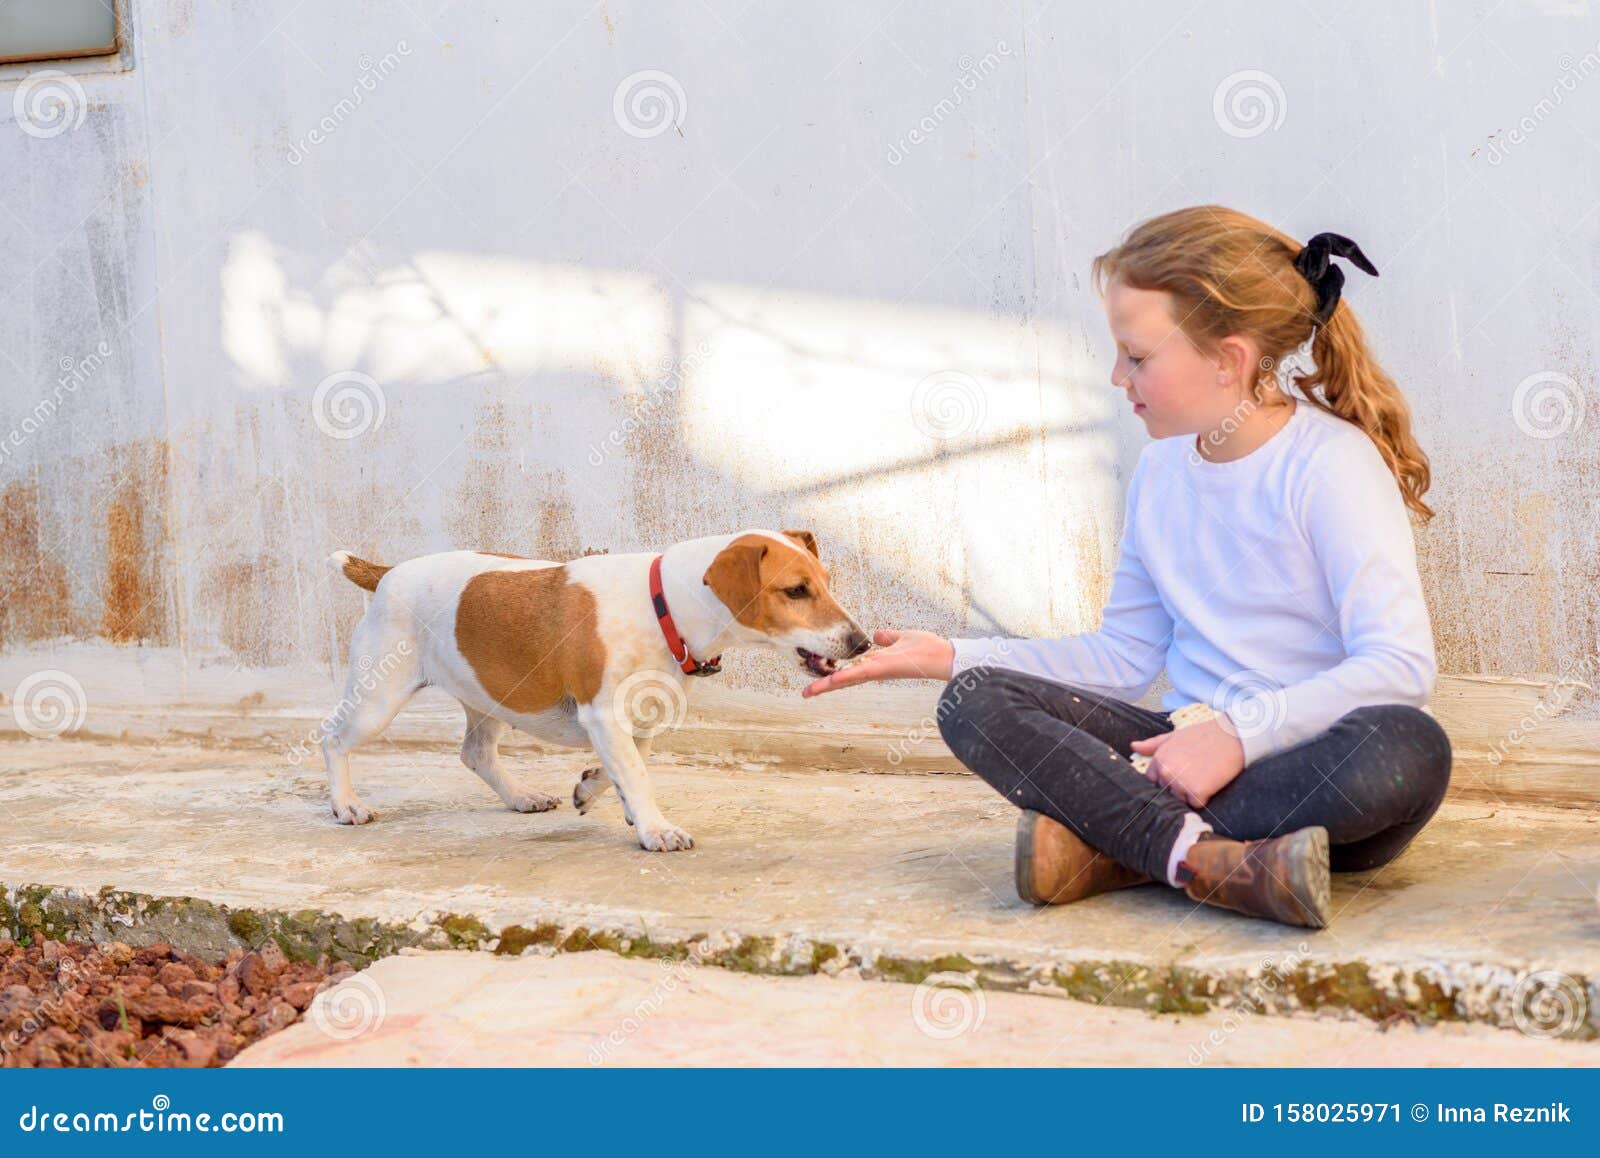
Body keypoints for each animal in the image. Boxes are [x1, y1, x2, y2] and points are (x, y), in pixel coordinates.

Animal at [323, 531, 870, 850]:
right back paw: (346, 805)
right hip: (377, 699)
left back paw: (521, 797)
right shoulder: (603, 714)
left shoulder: (641, 716)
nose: (862, 642)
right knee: (332, 738)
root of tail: (388, 574)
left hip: (490, 692)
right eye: (795, 590)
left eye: (825, 581)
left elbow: (630, 766)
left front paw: (597, 791)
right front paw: (656, 829)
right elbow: (635, 771)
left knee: (475, 752)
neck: (661, 604)